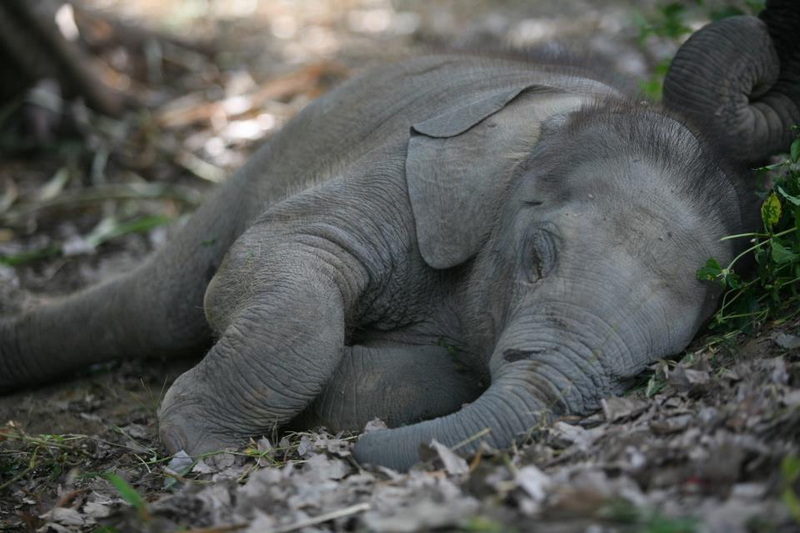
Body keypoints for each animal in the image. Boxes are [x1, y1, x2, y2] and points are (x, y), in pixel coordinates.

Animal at [1, 1, 798, 471]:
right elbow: (283, 260)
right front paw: (208, 450)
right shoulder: (400, 176)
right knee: (158, 303)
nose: (360, 457)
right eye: (537, 256)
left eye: (660, 357)